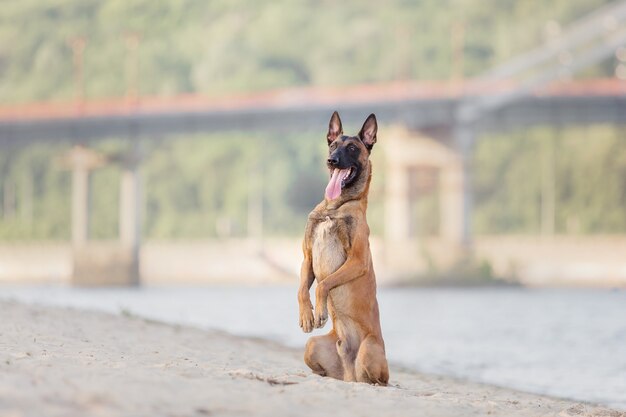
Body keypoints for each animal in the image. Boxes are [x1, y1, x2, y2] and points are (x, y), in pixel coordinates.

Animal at [294, 109, 388, 384]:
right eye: (333, 145)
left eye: (353, 148)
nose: (332, 160)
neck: (334, 208)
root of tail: (350, 374)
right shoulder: (307, 259)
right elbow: (302, 289)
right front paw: (306, 314)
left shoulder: (357, 260)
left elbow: (323, 284)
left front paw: (320, 311)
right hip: (312, 346)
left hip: (368, 350)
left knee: (380, 380)